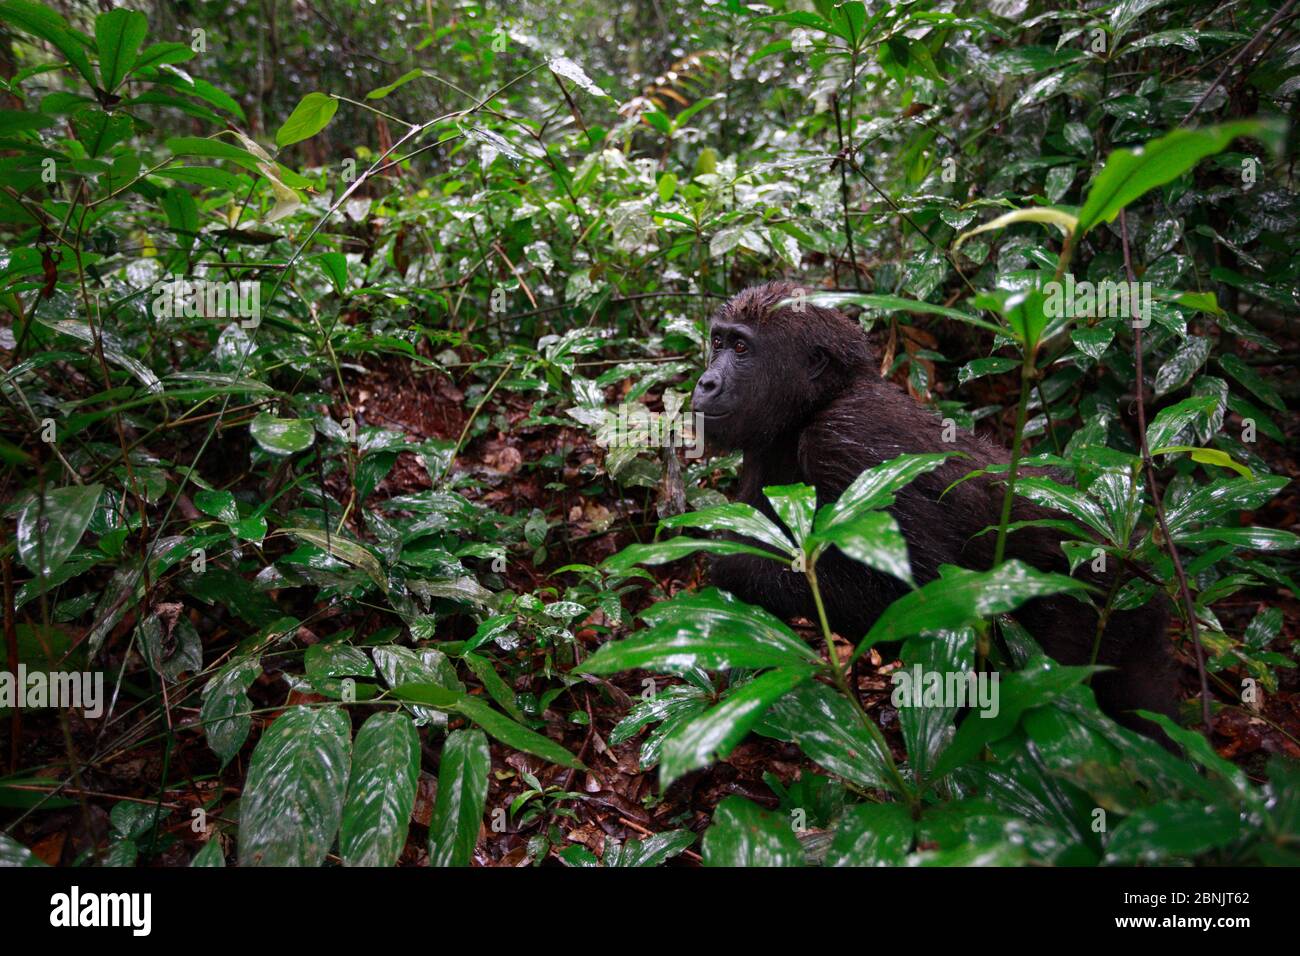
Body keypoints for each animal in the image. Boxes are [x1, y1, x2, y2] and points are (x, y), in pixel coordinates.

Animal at [696, 278, 1185, 738]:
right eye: (717, 342)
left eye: (741, 348)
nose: (705, 382)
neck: (816, 404)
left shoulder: (847, 439)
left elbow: (922, 591)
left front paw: (735, 571)